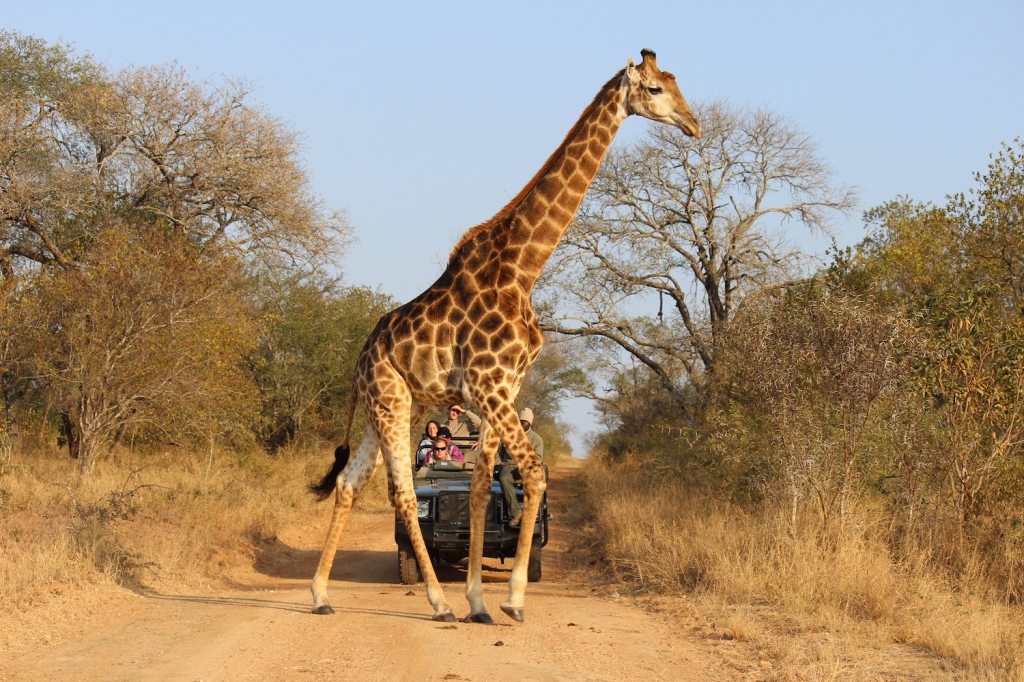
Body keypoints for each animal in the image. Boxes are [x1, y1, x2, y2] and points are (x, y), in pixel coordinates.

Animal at [307, 47, 700, 622]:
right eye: (654, 89)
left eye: (676, 83)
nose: (694, 124)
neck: (522, 270)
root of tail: (359, 360)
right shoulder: (490, 385)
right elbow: (533, 472)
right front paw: (510, 599)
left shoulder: (503, 387)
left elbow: (478, 484)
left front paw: (479, 600)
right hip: (390, 400)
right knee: (403, 494)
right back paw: (436, 602)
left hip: (394, 405)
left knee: (348, 484)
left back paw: (320, 595)